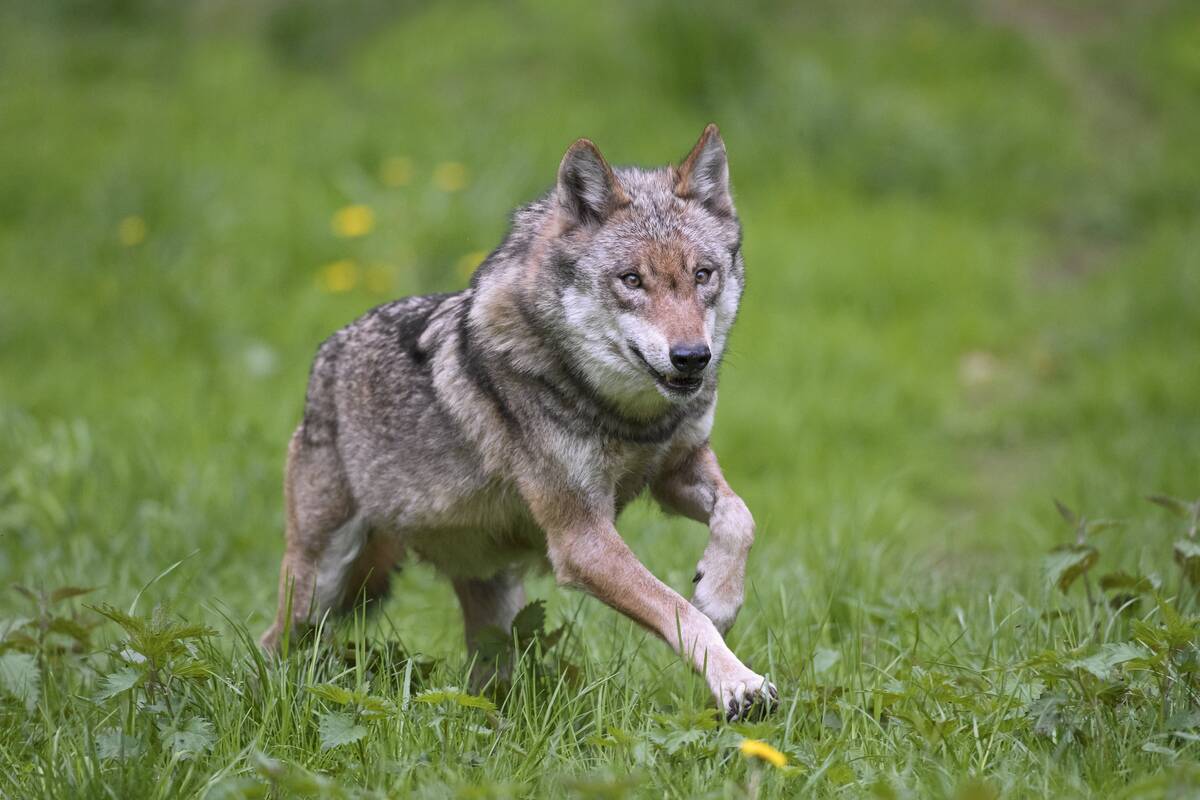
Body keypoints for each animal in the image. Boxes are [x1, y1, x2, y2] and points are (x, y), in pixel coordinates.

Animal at [261, 124, 776, 720]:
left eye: (702, 275)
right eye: (631, 280)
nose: (692, 357)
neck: (624, 416)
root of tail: (326, 357)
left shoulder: (676, 468)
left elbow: (740, 517)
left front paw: (719, 595)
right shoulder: (581, 539)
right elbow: (678, 611)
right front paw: (739, 683)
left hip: (492, 602)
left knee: (485, 681)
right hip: (321, 584)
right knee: (273, 643)